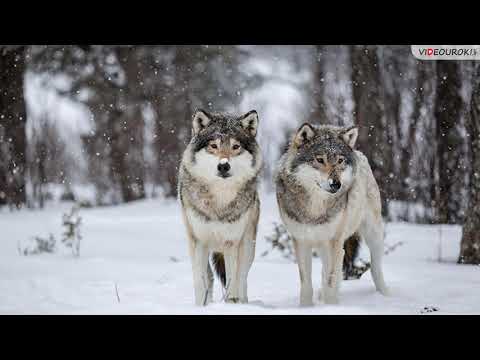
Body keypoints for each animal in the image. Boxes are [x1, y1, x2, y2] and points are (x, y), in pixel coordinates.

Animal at [178, 108, 262, 306]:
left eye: (236, 146)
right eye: (214, 146)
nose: (224, 166)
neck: (219, 201)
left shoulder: (231, 243)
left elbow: (233, 281)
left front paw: (232, 304)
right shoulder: (198, 242)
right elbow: (201, 282)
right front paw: (200, 306)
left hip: (247, 246)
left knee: (242, 278)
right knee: (209, 278)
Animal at [276, 122, 388, 306]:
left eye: (340, 160)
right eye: (320, 160)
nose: (336, 184)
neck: (315, 208)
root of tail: (359, 153)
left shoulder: (333, 242)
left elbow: (331, 280)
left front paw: (330, 306)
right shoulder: (301, 241)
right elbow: (306, 283)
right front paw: (306, 307)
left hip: (373, 235)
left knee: (375, 269)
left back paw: (385, 295)